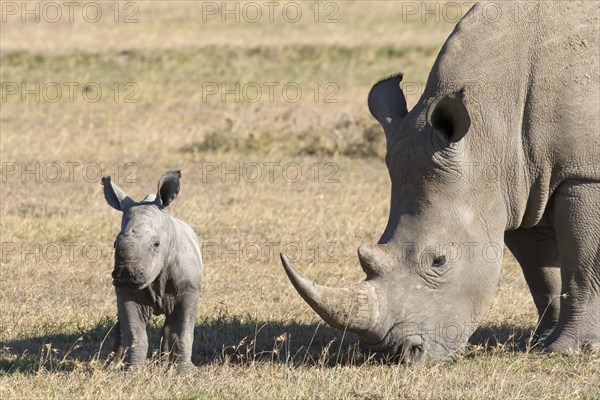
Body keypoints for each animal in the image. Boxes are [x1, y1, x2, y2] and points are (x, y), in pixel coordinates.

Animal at [102, 170, 203, 370]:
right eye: (115, 244)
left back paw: (165, 365)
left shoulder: (189, 289)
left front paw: (185, 371)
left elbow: (183, 331)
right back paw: (111, 365)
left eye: (156, 244)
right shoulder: (127, 291)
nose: (126, 274)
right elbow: (135, 333)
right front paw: (132, 371)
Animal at [282, 0, 600, 364]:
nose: (395, 354)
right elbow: (541, 275)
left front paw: (568, 349)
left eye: (439, 261)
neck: (490, 131)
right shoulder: (521, 185)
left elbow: (582, 266)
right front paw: (537, 344)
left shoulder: (583, 174)